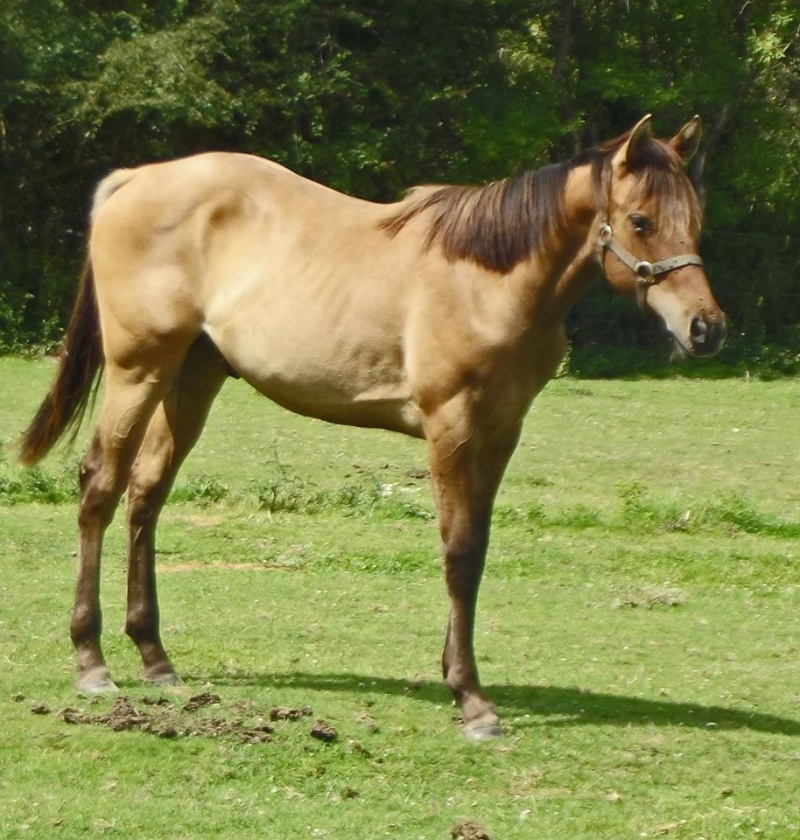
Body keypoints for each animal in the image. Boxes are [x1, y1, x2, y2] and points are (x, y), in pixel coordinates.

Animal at [17, 115, 724, 740]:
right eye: (641, 221)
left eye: (696, 219)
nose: (705, 329)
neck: (488, 279)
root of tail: (133, 181)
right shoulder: (451, 428)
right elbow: (458, 552)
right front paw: (472, 701)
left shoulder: (501, 433)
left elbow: (476, 551)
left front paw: (456, 676)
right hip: (138, 371)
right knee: (100, 488)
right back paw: (91, 662)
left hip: (192, 378)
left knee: (146, 495)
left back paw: (154, 657)